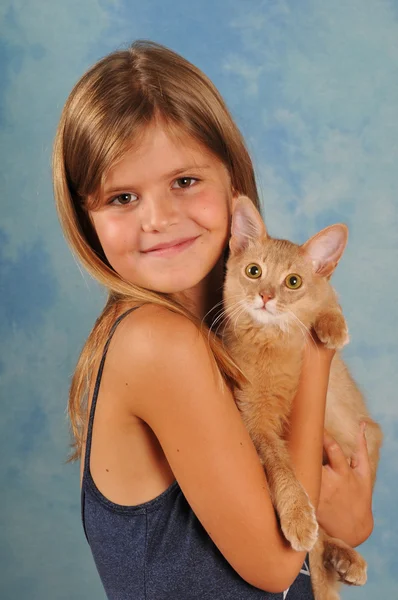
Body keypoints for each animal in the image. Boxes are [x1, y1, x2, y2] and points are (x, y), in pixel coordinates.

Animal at [222, 197, 384, 600]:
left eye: (293, 281)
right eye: (254, 271)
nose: (265, 296)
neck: (273, 342)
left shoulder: (325, 293)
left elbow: (328, 299)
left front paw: (333, 327)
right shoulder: (255, 419)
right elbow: (283, 468)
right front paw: (297, 516)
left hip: (368, 436)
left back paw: (346, 559)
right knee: (321, 544)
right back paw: (339, 557)